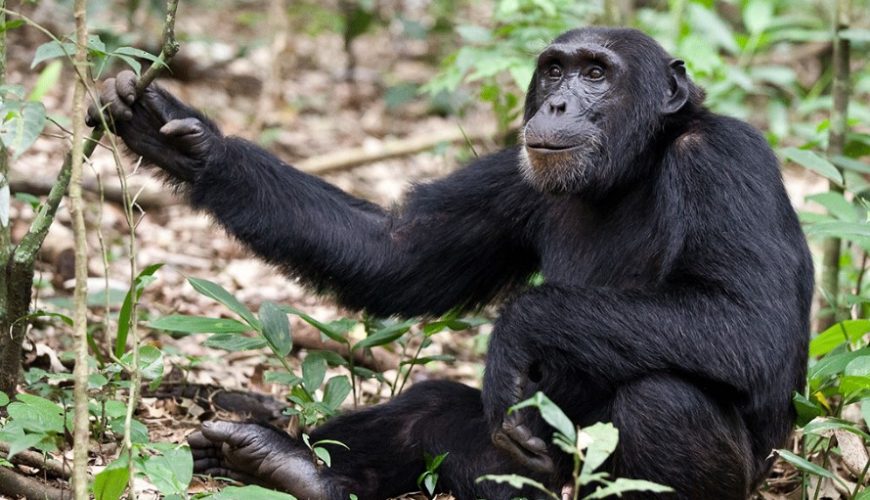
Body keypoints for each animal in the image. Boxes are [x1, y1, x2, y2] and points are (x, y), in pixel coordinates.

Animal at [88, 28, 812, 500]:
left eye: (597, 74)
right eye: (555, 70)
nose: (557, 103)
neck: (629, 172)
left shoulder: (725, 163)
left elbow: (750, 322)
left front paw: (518, 330)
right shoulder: (515, 177)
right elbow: (397, 251)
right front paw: (184, 139)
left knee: (666, 401)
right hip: (509, 479)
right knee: (432, 406)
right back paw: (295, 467)